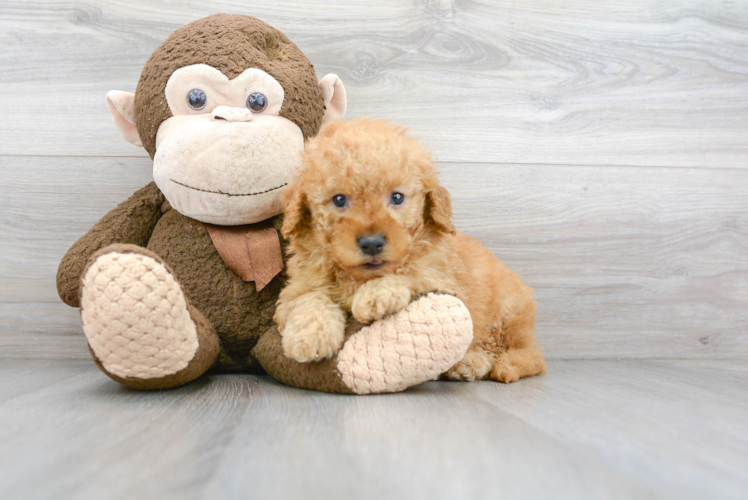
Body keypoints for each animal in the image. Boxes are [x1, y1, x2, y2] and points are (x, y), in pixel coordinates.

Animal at [278, 118, 548, 382]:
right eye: (339, 200)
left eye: (397, 197)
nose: (372, 243)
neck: (359, 277)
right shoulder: (297, 287)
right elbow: (308, 298)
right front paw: (309, 336)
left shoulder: (440, 278)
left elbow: (411, 273)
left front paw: (375, 295)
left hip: (510, 316)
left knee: (531, 356)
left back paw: (494, 364)